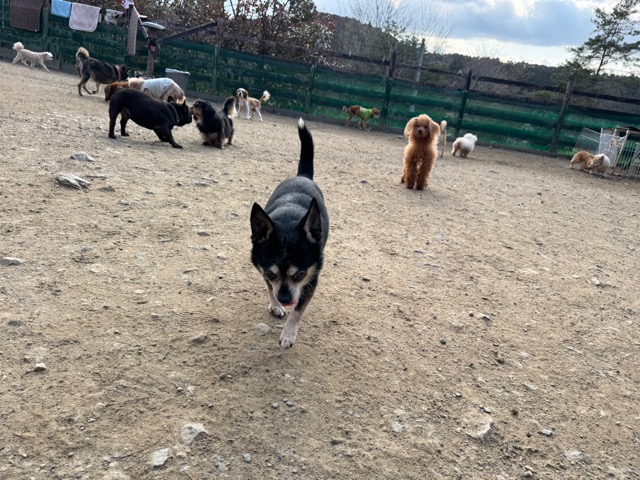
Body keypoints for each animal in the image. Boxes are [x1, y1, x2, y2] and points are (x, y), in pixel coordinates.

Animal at [250, 118, 329, 349]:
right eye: (271, 274)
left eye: (300, 274)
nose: (285, 299)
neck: (288, 221)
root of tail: (302, 176)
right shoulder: (262, 268)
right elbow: (270, 289)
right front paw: (275, 305)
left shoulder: (311, 280)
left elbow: (298, 310)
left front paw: (288, 333)